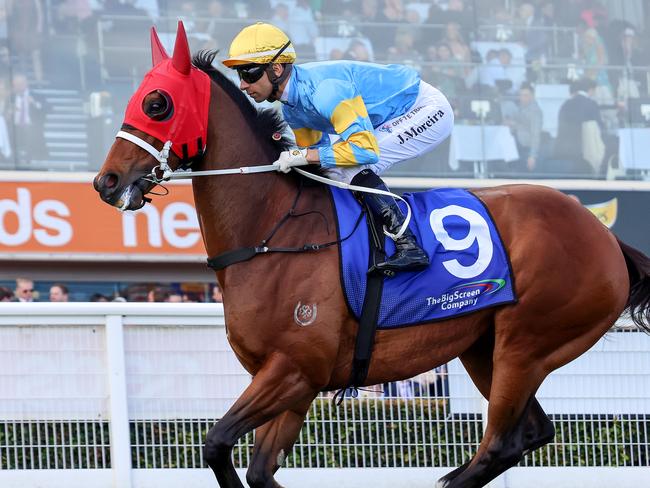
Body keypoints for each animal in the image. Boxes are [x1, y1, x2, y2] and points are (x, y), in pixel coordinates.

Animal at [92, 23, 648, 488]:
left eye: (157, 103)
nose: (106, 182)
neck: (272, 228)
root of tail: (603, 234)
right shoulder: (293, 381)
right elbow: (259, 470)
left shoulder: (294, 369)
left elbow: (216, 443)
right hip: (484, 346)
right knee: (529, 434)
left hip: (527, 343)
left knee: (500, 443)